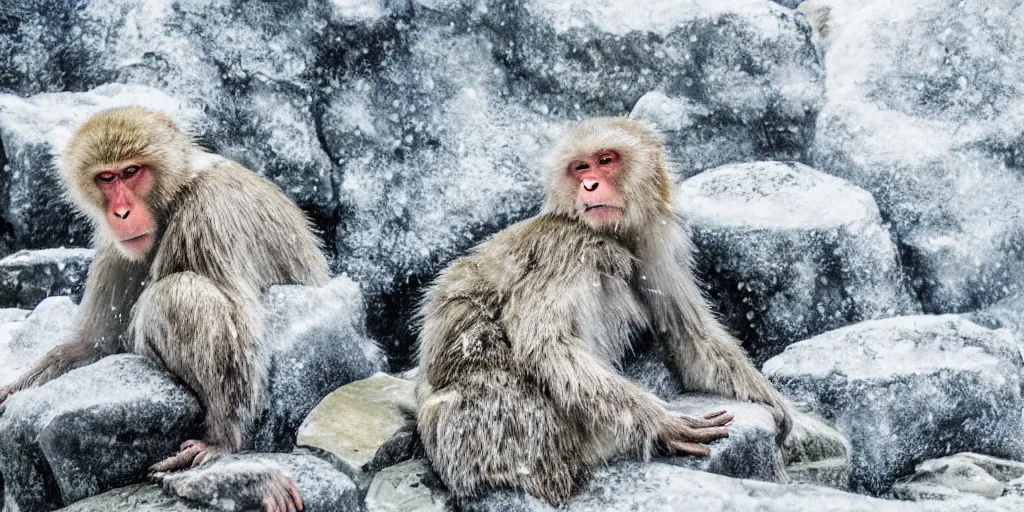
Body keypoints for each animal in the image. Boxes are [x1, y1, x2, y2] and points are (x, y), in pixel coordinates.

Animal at [0, 105, 327, 509]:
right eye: (106, 177)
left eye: (131, 172)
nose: (121, 212)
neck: (176, 193)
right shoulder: (115, 247)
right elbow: (94, 346)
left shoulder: (208, 210)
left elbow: (235, 314)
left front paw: (224, 444)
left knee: (178, 293)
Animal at [415, 116, 790, 503]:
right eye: (581, 167)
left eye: (606, 161)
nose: (590, 184)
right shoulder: (567, 246)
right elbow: (546, 345)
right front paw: (661, 423)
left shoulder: (654, 238)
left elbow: (687, 331)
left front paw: (776, 406)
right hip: (488, 437)